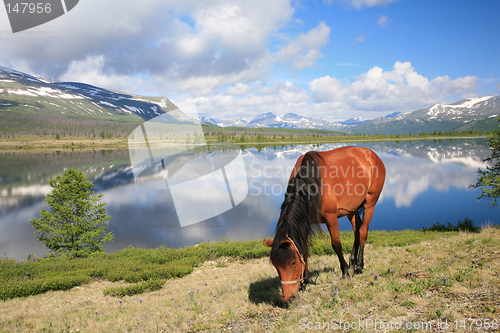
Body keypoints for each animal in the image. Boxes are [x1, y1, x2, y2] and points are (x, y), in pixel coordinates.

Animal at [266, 147, 386, 302]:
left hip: (369, 202)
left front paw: (345, 272)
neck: (310, 183)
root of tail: (372, 154)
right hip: (351, 209)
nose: (288, 298)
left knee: (363, 232)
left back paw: (359, 266)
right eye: (276, 267)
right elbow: (304, 250)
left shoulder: (331, 218)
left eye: (292, 263)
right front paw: (304, 282)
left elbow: (336, 244)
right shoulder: (304, 223)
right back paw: (352, 261)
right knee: (357, 228)